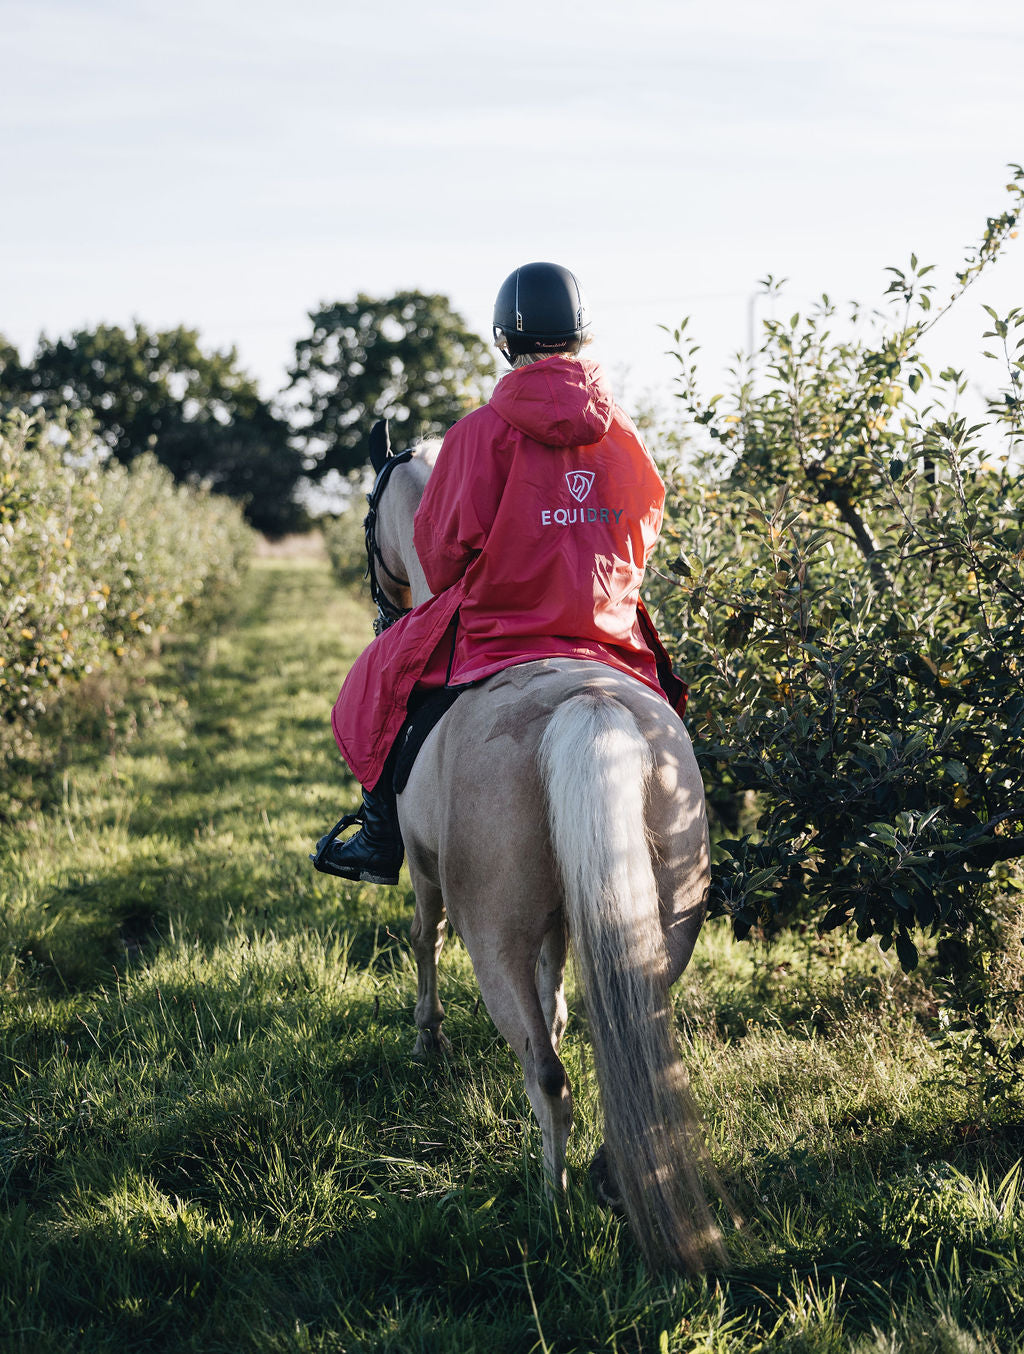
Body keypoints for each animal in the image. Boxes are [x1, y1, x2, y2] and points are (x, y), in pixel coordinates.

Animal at [354, 422, 726, 1267]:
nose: (383, 610)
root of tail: (587, 703)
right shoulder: (565, 913)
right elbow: (555, 995)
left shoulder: (423, 869)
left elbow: (422, 938)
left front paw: (426, 1039)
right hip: (665, 922)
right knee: (633, 1038)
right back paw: (613, 1177)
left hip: (491, 937)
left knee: (548, 1078)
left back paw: (552, 1213)